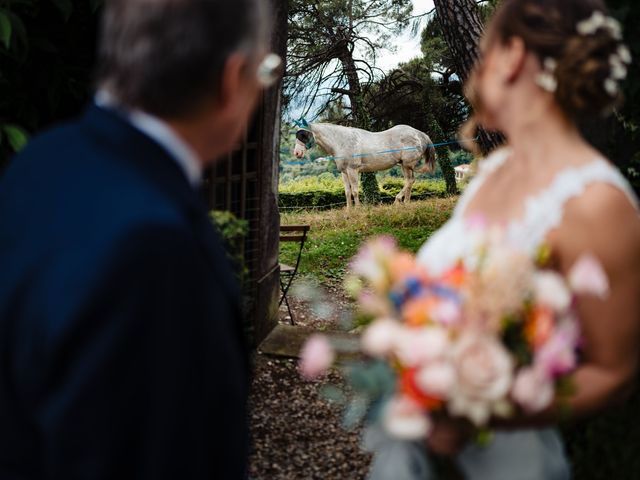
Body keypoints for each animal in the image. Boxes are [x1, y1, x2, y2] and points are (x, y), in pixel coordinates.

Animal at [294, 123, 436, 207]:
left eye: (303, 135)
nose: (297, 153)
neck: (341, 141)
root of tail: (421, 135)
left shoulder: (352, 171)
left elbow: (355, 191)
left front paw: (358, 209)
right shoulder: (344, 172)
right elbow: (347, 192)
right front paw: (349, 211)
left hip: (407, 165)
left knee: (409, 181)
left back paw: (397, 200)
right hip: (404, 165)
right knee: (410, 181)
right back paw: (406, 203)